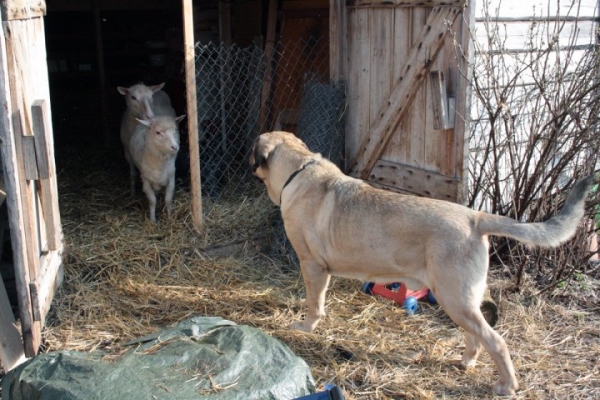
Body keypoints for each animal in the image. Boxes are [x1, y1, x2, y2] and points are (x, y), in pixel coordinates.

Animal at [248, 132, 596, 396]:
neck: (297, 169)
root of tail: (475, 218)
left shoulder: (312, 266)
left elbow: (314, 304)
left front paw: (305, 327)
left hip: (453, 297)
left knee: (495, 341)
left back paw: (507, 386)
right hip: (459, 300)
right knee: (476, 335)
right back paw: (466, 361)